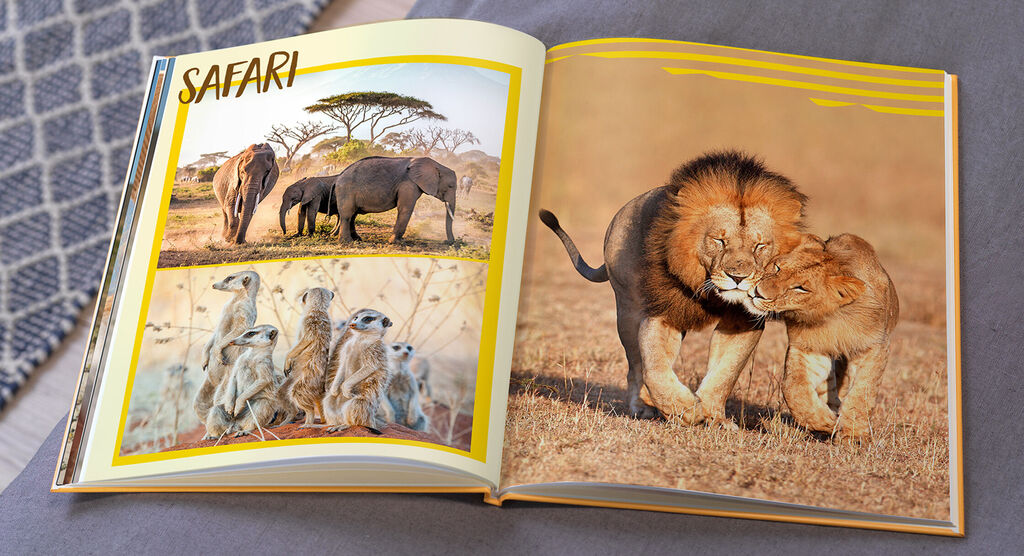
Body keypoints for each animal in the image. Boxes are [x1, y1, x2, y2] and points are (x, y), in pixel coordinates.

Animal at [539, 151, 806, 425]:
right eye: (719, 240)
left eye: (760, 246)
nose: (737, 277)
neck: (709, 291)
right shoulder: (664, 312)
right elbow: (654, 369)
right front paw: (686, 409)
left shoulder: (742, 320)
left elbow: (726, 371)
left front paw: (715, 417)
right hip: (627, 309)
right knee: (636, 365)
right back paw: (642, 407)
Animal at [744, 233, 899, 439]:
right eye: (777, 268)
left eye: (801, 288)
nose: (757, 293)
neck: (833, 318)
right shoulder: (810, 348)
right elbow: (793, 387)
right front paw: (824, 422)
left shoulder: (873, 346)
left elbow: (863, 391)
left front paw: (854, 435)